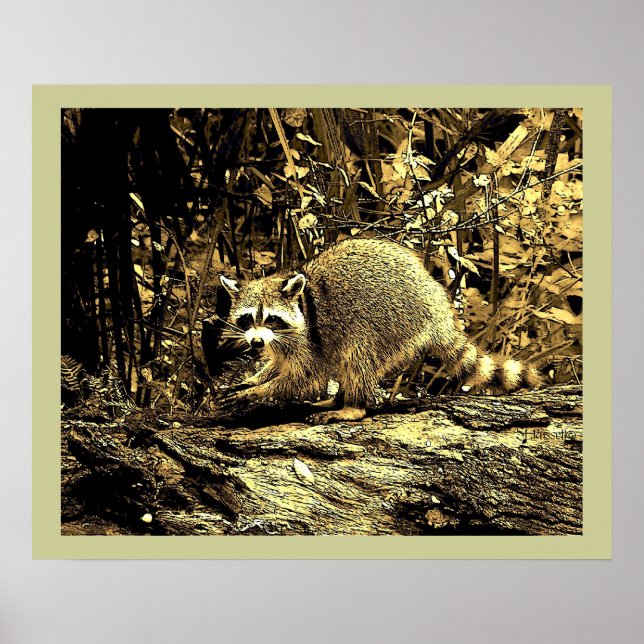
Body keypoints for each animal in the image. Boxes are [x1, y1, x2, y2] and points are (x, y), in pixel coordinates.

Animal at [218, 238, 541, 424]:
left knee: (357, 357)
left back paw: (352, 407)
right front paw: (254, 379)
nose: (256, 342)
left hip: (390, 323)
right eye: (248, 319)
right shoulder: (283, 341)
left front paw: (259, 391)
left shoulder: (307, 339)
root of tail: (437, 305)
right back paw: (339, 399)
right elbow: (279, 364)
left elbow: (305, 377)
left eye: (271, 318)